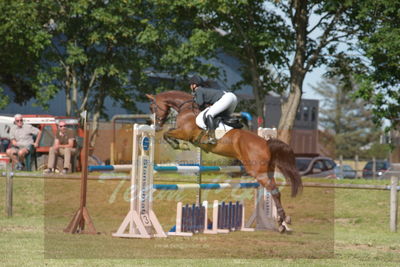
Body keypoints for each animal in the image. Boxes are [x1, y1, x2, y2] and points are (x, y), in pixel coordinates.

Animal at [145, 90, 302, 232]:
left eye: (153, 108)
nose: (156, 126)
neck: (186, 108)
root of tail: (266, 143)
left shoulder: (185, 133)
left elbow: (167, 134)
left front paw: (177, 145)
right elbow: (168, 132)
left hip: (258, 172)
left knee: (274, 191)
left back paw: (283, 221)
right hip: (267, 171)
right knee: (275, 191)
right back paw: (281, 223)